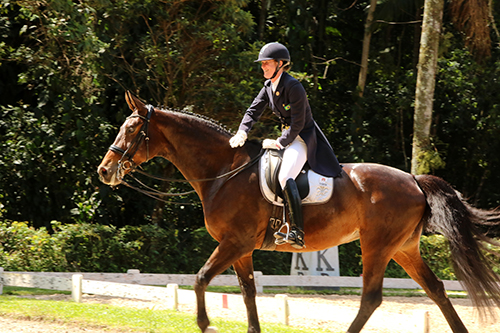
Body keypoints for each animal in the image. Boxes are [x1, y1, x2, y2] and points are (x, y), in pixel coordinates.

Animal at [97, 91, 500, 332]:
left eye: (131, 131)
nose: (104, 170)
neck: (224, 171)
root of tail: (414, 180)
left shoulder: (234, 242)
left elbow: (199, 279)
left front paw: (206, 324)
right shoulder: (241, 248)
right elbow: (248, 292)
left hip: (378, 247)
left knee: (372, 298)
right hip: (404, 248)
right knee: (436, 290)